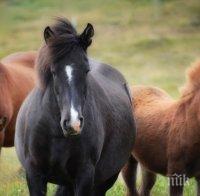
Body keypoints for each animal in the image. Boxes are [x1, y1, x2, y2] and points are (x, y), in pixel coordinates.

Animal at [14, 18, 136, 196]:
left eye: (86, 70)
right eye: (53, 71)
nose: (73, 123)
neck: (56, 134)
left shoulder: (84, 176)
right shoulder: (34, 174)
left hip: (105, 180)